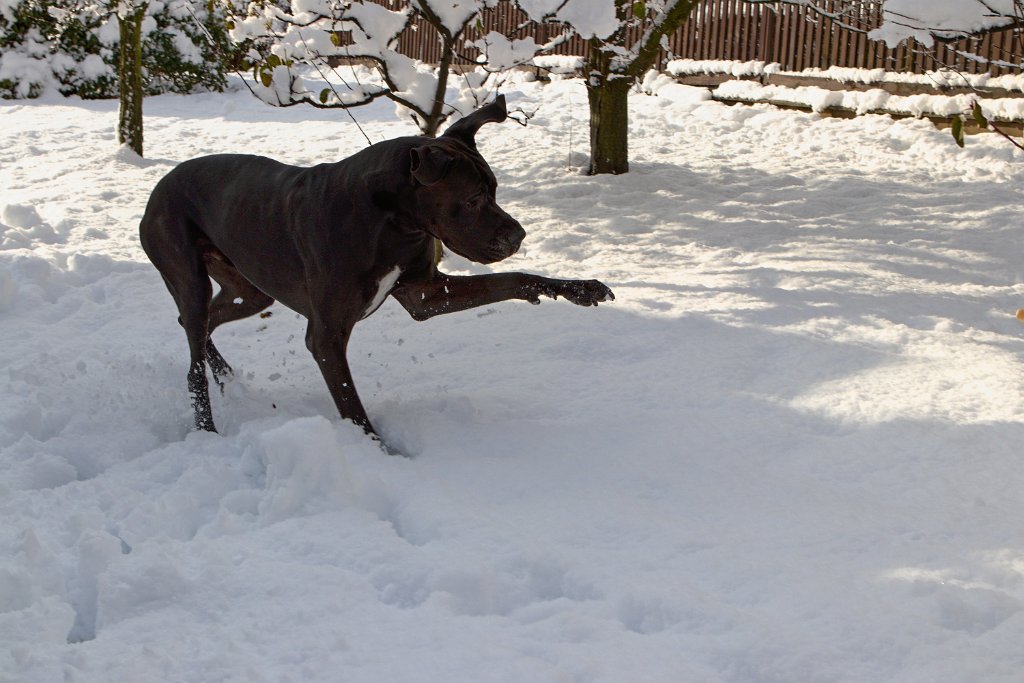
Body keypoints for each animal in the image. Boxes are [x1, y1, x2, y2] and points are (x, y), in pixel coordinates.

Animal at [139, 96, 610, 448]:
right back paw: (207, 428)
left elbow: (510, 280)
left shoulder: (425, 295)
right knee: (192, 359)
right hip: (187, 272)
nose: (518, 235)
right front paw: (381, 454)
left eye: (494, 190)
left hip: (250, 290)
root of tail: (160, 185)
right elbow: (351, 405)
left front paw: (578, 288)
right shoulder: (326, 336)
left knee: (198, 323)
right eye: (474, 199)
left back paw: (226, 377)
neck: (391, 223)